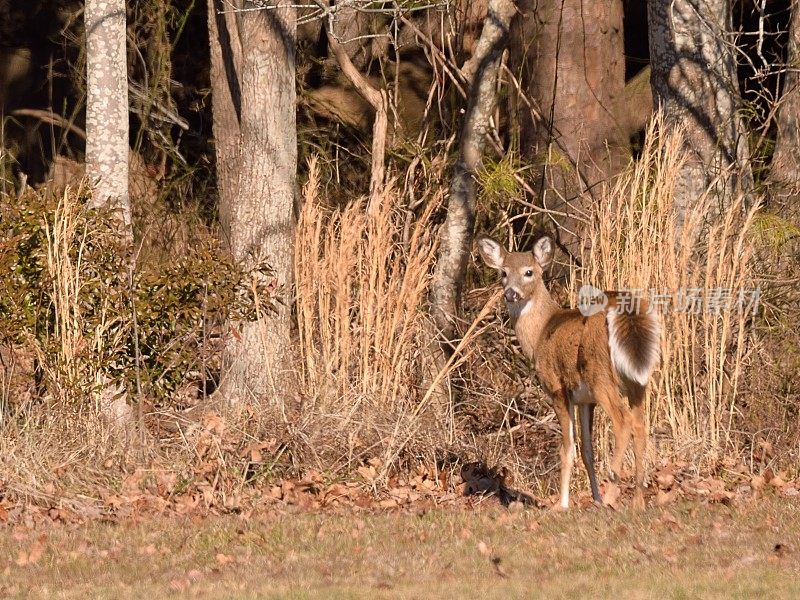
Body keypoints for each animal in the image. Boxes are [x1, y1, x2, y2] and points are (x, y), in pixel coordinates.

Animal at [478, 237, 660, 508]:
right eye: (503, 272)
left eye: (529, 272)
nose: (511, 293)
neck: (540, 334)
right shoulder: (584, 399)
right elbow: (587, 450)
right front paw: (594, 498)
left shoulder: (557, 387)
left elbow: (567, 449)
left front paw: (562, 504)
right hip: (636, 380)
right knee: (640, 425)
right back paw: (637, 501)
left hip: (600, 375)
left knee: (623, 421)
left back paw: (612, 493)